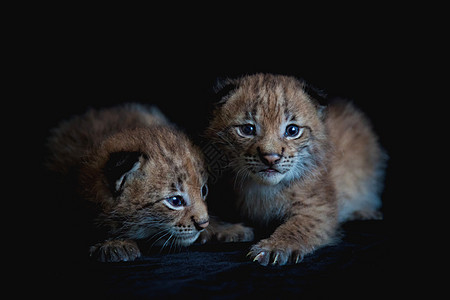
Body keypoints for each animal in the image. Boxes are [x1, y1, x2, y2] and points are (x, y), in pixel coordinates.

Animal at [204, 74, 386, 266]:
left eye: (292, 130)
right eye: (247, 129)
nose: (271, 157)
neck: (265, 186)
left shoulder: (317, 208)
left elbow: (298, 226)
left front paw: (275, 246)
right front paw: (227, 229)